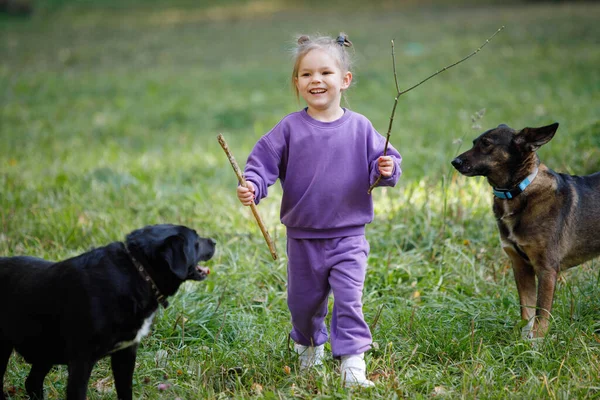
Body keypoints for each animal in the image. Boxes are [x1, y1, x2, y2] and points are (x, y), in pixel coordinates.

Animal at [0, 225, 216, 400]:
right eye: (196, 241)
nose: (214, 241)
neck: (138, 272)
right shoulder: (81, 360)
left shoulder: (125, 354)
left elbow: (125, 392)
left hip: (46, 349)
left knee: (32, 383)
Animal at [452, 122, 600, 338]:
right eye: (474, 142)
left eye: (486, 144)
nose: (454, 162)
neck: (519, 190)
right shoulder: (520, 266)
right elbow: (527, 312)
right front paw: (523, 341)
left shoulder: (546, 269)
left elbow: (540, 314)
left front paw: (537, 342)